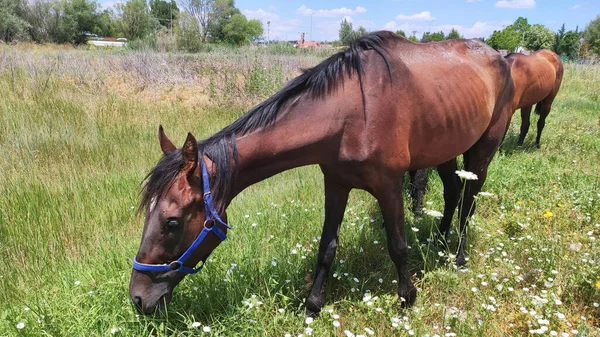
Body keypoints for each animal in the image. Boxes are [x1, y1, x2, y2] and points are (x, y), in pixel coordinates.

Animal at [129, 31, 512, 316]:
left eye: (172, 221)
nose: (137, 298)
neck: (354, 112)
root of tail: (499, 56)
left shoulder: (389, 186)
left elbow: (398, 245)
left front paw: (407, 299)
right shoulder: (336, 183)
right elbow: (327, 247)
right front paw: (313, 306)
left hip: (482, 151)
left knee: (469, 201)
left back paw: (458, 257)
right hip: (445, 148)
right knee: (452, 192)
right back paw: (439, 242)